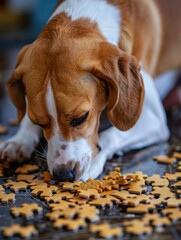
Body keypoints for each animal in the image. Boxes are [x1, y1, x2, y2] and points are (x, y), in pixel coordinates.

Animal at [0, 0, 181, 180]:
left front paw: (95, 160)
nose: (63, 174)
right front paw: (19, 141)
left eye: (80, 118)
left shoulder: (153, 119)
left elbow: (110, 134)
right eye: (39, 122)